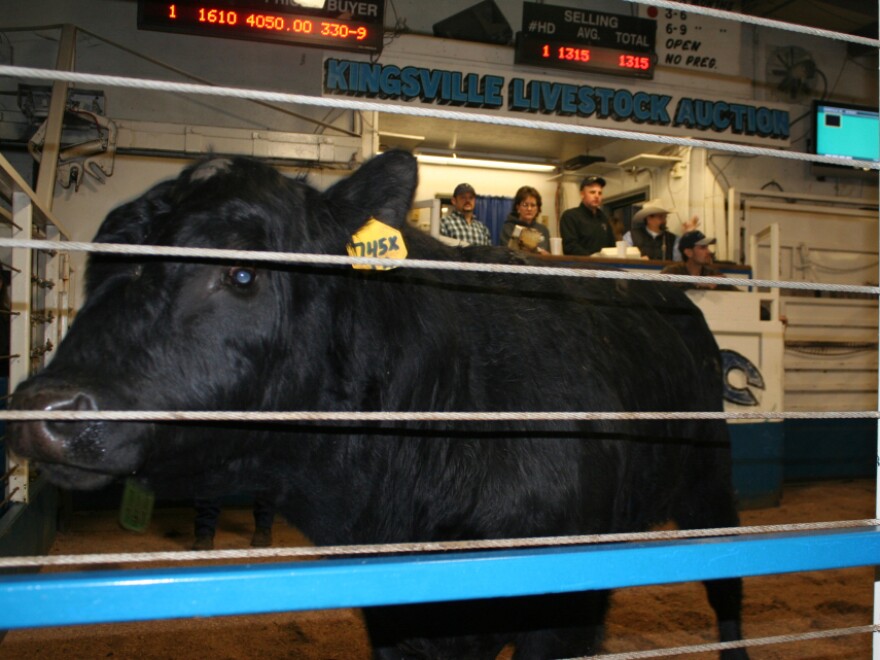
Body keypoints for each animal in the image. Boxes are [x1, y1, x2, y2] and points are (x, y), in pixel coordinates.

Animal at [6, 151, 748, 660]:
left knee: (728, 596)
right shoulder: (396, 616)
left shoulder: (569, 607)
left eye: (242, 273)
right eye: (98, 266)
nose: (44, 407)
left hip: (711, 483)